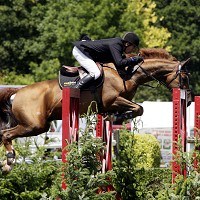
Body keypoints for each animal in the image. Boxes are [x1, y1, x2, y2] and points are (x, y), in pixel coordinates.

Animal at [0, 47, 191, 171]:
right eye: (184, 78)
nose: (188, 100)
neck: (127, 74)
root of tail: (17, 92)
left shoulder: (115, 103)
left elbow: (135, 109)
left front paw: (113, 118)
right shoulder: (113, 100)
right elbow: (139, 108)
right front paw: (119, 117)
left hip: (37, 125)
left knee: (5, 134)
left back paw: (8, 161)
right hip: (34, 125)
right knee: (6, 134)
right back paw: (9, 161)